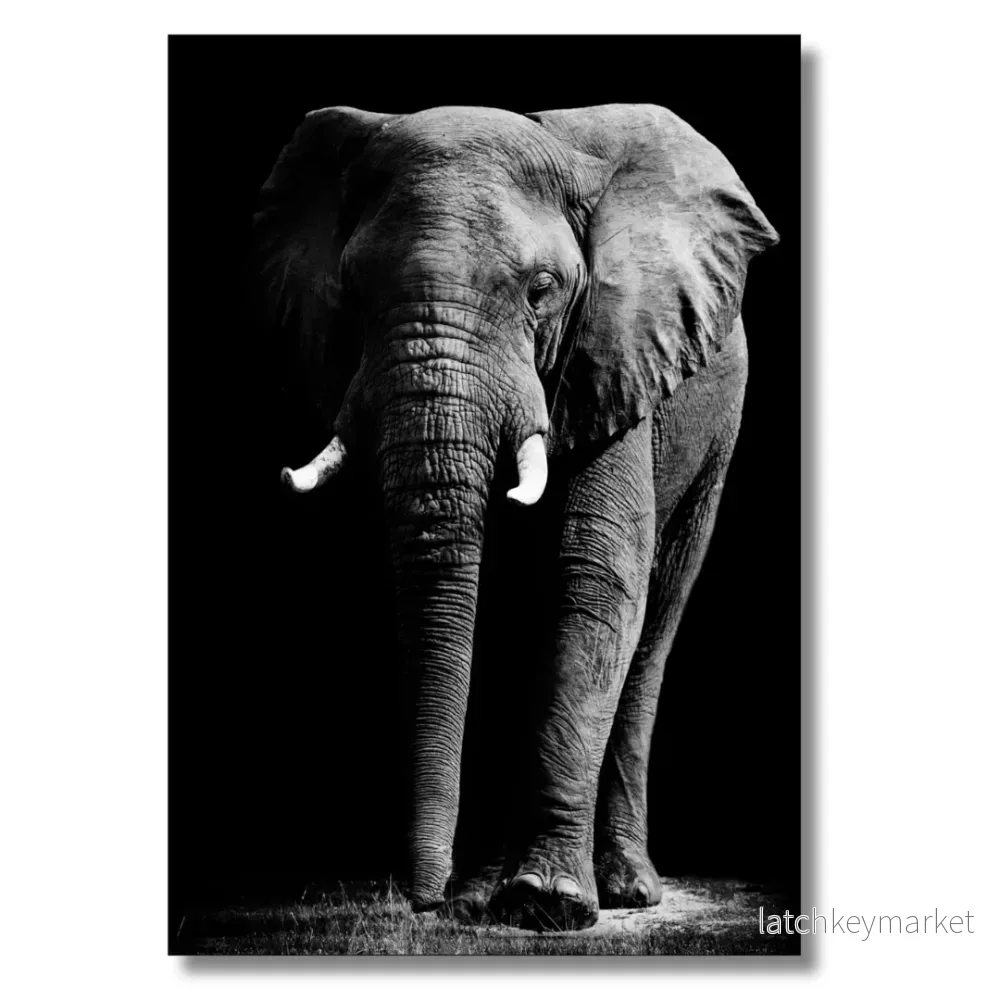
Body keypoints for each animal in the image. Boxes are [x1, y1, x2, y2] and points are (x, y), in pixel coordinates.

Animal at [254, 103, 778, 931]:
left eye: (542, 289)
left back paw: (624, 890)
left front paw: (546, 904)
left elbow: (595, 580)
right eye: (351, 291)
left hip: (717, 435)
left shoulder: (614, 355)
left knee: (656, 623)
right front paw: (486, 900)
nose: (421, 903)